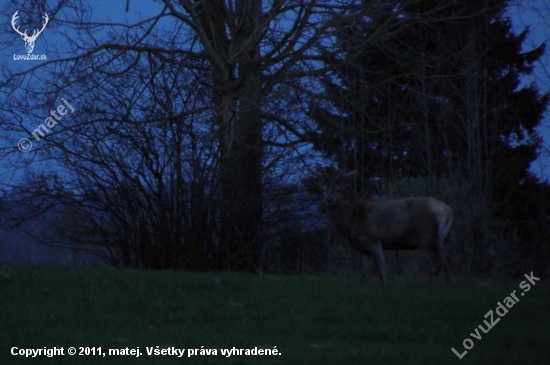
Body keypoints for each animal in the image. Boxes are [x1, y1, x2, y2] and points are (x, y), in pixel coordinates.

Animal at [308, 166, 454, 286]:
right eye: (322, 189)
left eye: (339, 189)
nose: (329, 199)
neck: (351, 221)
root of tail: (447, 210)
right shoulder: (363, 247)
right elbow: (364, 273)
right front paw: (363, 288)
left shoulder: (374, 239)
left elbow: (381, 269)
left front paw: (384, 288)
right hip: (440, 239)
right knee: (447, 259)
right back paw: (448, 285)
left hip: (423, 237)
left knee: (434, 265)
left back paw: (429, 287)